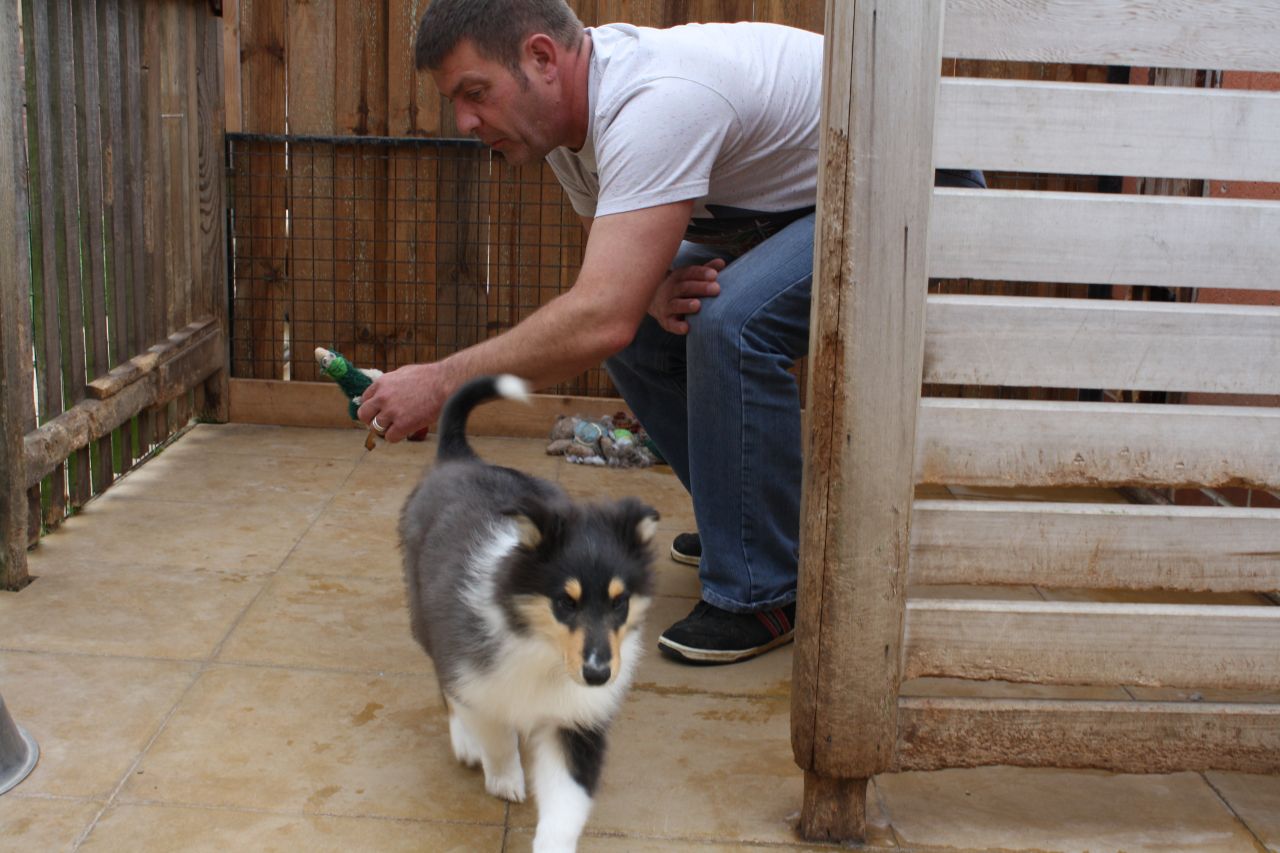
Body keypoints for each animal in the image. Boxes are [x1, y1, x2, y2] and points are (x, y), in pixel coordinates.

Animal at [399, 373, 660, 850]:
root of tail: (459, 458)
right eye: (565, 602)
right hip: (428, 615)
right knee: (446, 684)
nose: (598, 675)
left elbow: (567, 803)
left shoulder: (577, 720)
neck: (543, 652)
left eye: (620, 602)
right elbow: (495, 732)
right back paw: (465, 744)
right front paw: (505, 779)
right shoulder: (477, 674)